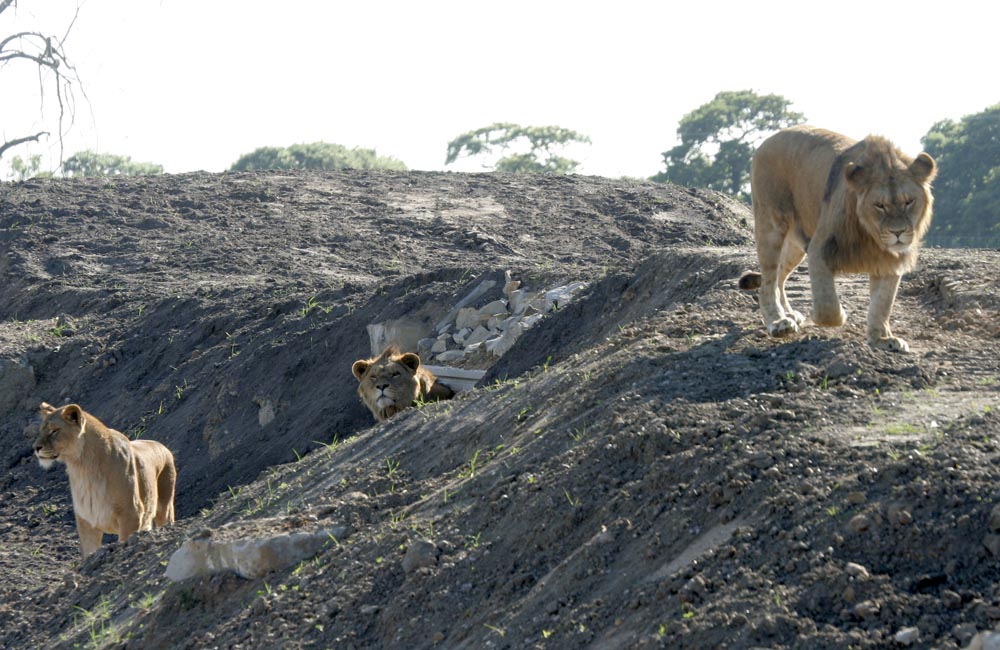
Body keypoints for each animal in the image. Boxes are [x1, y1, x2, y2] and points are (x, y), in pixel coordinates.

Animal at [33, 402, 177, 558]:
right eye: (40, 431)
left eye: (54, 431)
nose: (36, 447)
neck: (82, 466)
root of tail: (162, 446)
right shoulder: (86, 521)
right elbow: (89, 552)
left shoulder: (131, 513)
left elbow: (124, 541)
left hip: (164, 506)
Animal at [738, 125, 936, 352]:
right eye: (880, 205)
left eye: (909, 202)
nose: (898, 232)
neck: (872, 237)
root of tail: (767, 140)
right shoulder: (819, 249)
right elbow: (827, 306)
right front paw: (833, 315)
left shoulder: (889, 260)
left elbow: (882, 303)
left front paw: (883, 338)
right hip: (772, 225)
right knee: (767, 284)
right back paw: (779, 322)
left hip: (794, 245)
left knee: (779, 277)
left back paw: (789, 313)